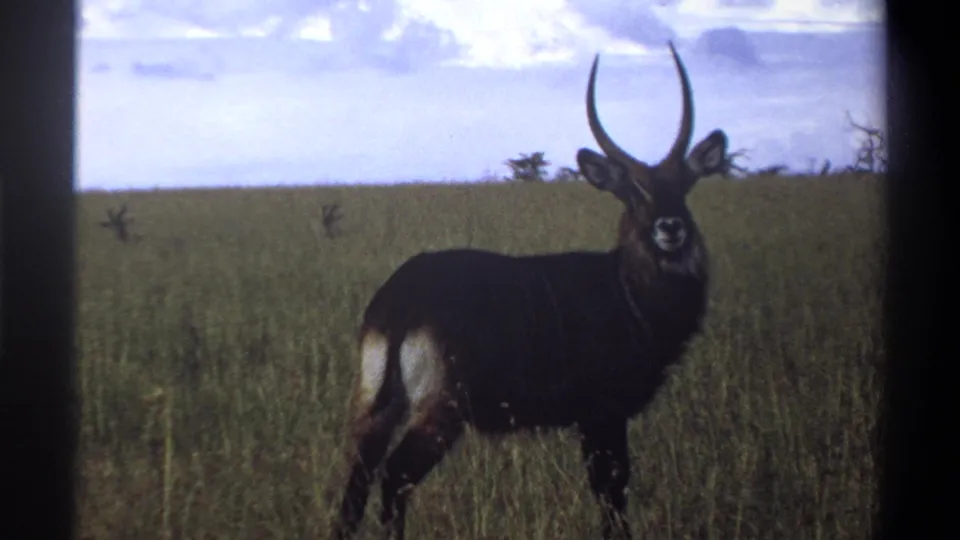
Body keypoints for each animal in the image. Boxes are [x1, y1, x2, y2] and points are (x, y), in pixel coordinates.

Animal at [331, 42, 729, 540]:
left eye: (684, 186)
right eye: (632, 193)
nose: (670, 228)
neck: (626, 289)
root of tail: (401, 296)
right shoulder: (603, 415)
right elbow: (612, 495)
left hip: (379, 408)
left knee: (355, 488)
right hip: (442, 412)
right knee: (395, 477)